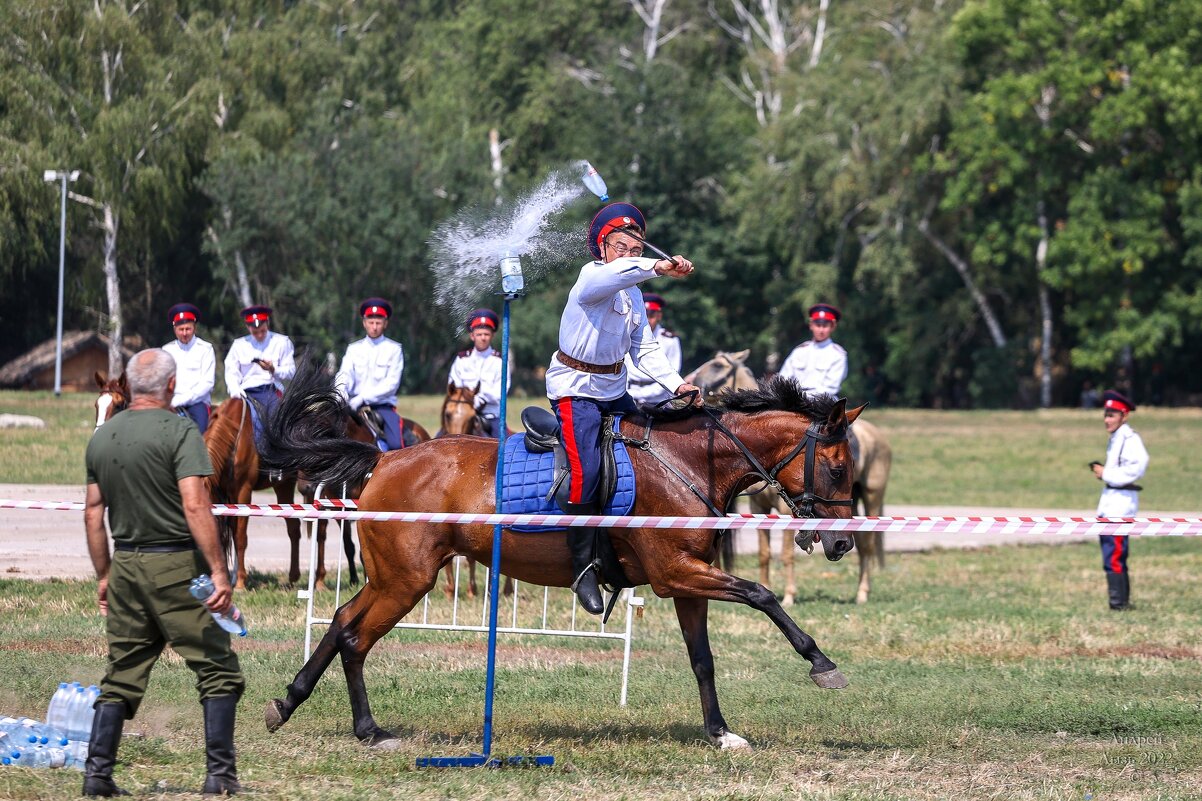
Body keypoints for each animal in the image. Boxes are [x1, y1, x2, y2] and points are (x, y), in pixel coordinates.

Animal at [260, 360, 865, 750]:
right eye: (837, 467)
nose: (841, 543)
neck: (688, 461)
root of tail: (384, 460)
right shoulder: (677, 574)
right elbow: (763, 596)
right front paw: (822, 664)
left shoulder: (688, 583)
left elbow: (703, 659)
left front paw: (720, 733)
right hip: (406, 581)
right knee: (355, 636)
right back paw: (366, 730)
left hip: (392, 578)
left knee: (342, 622)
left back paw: (294, 705)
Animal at [687, 346, 894, 601]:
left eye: (717, 365)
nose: (691, 381)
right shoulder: (759, 506)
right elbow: (764, 553)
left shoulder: (787, 509)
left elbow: (786, 553)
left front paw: (789, 595)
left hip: (872, 495)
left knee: (867, 544)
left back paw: (862, 592)